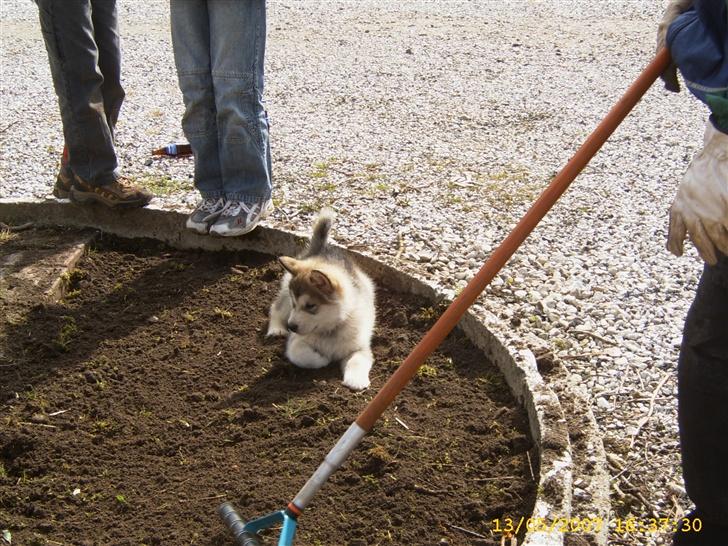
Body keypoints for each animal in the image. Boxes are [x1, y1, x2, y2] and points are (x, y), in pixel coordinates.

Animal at [266, 206, 376, 388]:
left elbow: (358, 360)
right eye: (295, 304)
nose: (291, 327)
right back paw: (276, 328)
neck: (331, 329)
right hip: (285, 298)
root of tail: (320, 249)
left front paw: (356, 380)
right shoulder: (296, 342)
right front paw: (322, 359)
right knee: (276, 308)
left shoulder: (360, 347)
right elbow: (300, 354)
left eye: (310, 306)